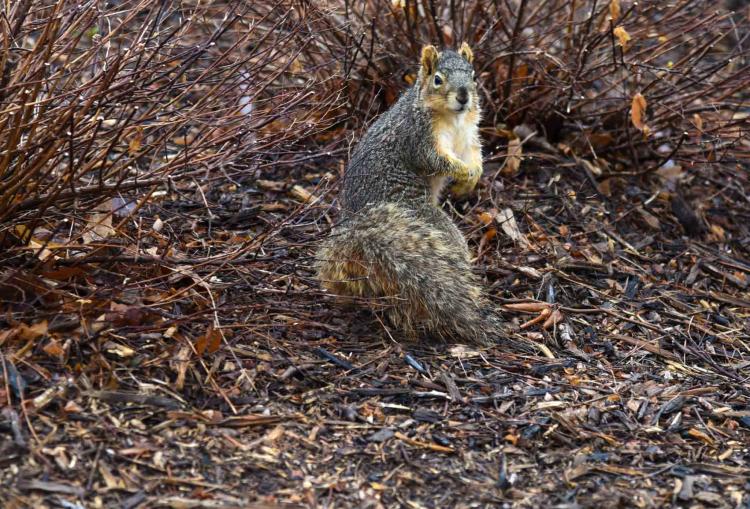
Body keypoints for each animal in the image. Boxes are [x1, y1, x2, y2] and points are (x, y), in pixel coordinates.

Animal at [316, 43, 502, 345]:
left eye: (474, 76)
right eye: (437, 79)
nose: (464, 97)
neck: (454, 118)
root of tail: (355, 224)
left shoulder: (469, 135)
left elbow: (475, 154)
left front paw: (471, 178)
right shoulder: (417, 138)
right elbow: (438, 161)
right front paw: (462, 173)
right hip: (424, 221)